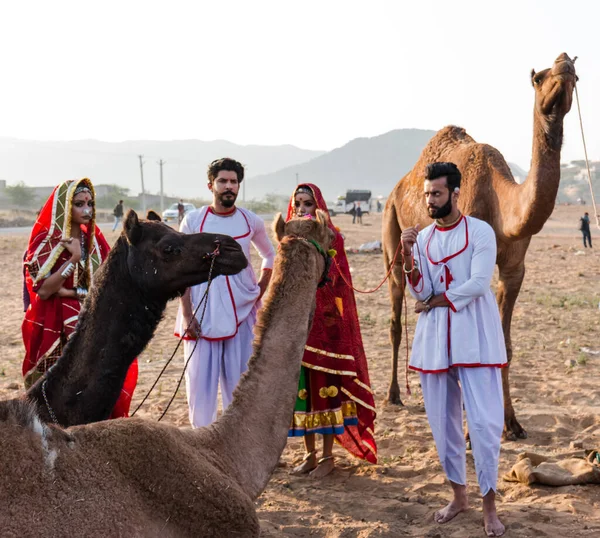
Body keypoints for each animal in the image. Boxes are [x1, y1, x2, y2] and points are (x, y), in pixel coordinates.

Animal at [384, 52, 576, 438]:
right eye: (538, 78)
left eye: (576, 76)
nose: (564, 62)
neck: (502, 205)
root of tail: (398, 186)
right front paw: (474, 432)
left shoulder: (514, 268)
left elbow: (505, 347)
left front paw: (512, 424)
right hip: (392, 232)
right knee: (396, 318)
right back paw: (395, 395)